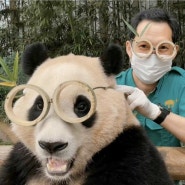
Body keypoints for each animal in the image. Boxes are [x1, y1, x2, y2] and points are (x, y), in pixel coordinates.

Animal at [0, 42, 174, 185]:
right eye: (40, 105)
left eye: (82, 107)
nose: (51, 145)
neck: (62, 177)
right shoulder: (22, 162)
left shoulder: (129, 156)